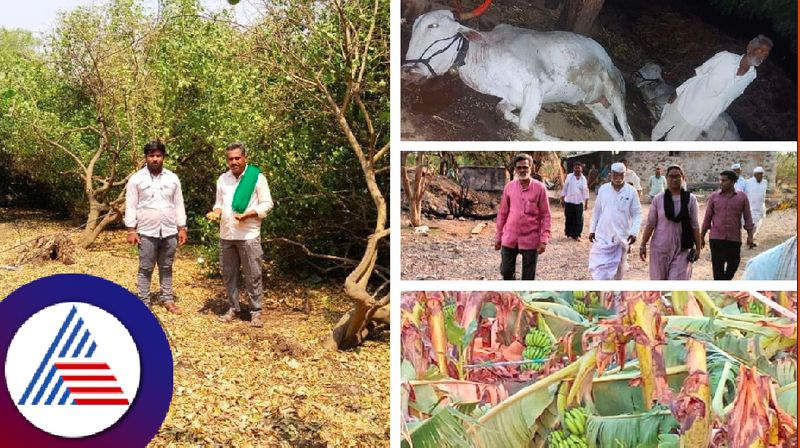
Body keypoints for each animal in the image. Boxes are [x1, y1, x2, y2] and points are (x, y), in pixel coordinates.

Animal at [404, 10, 636, 141]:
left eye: (433, 25)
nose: (407, 71)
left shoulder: (538, 84)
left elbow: (525, 125)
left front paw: (557, 141)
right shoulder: (512, 99)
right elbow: (504, 113)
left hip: (614, 87)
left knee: (628, 132)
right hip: (597, 107)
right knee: (618, 135)